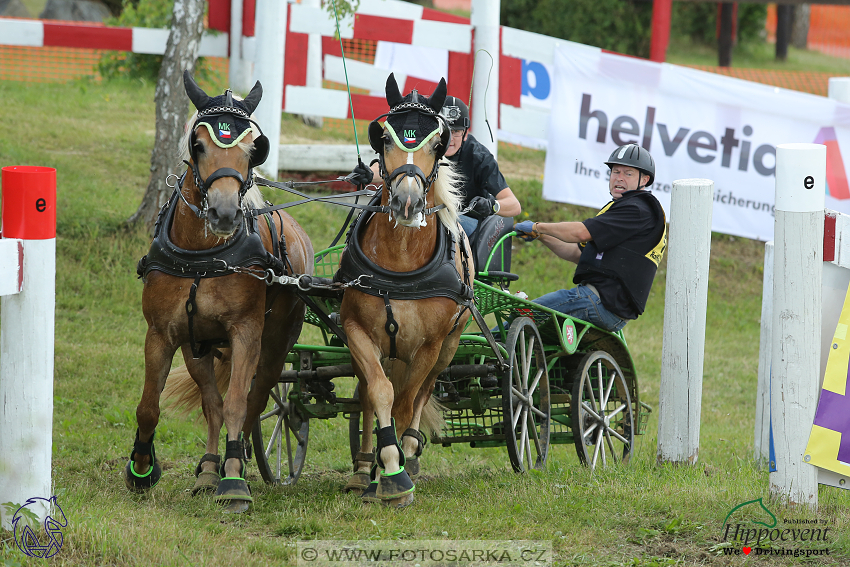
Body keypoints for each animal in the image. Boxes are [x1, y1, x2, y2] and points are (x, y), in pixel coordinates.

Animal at [126, 72, 312, 516]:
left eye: (253, 148)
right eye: (198, 145)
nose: (224, 213)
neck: (202, 255)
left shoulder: (246, 333)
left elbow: (237, 404)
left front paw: (234, 482)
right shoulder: (162, 334)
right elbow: (150, 405)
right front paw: (141, 469)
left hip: (276, 346)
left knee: (256, 400)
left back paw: (236, 461)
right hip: (199, 346)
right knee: (211, 403)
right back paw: (210, 469)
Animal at [336, 74, 470, 506]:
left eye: (437, 143)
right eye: (385, 138)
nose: (407, 202)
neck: (401, 264)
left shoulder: (429, 346)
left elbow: (407, 401)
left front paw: (396, 471)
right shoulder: (356, 330)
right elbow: (380, 392)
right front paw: (383, 466)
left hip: (449, 346)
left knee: (423, 392)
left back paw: (408, 451)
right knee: (368, 391)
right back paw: (363, 470)